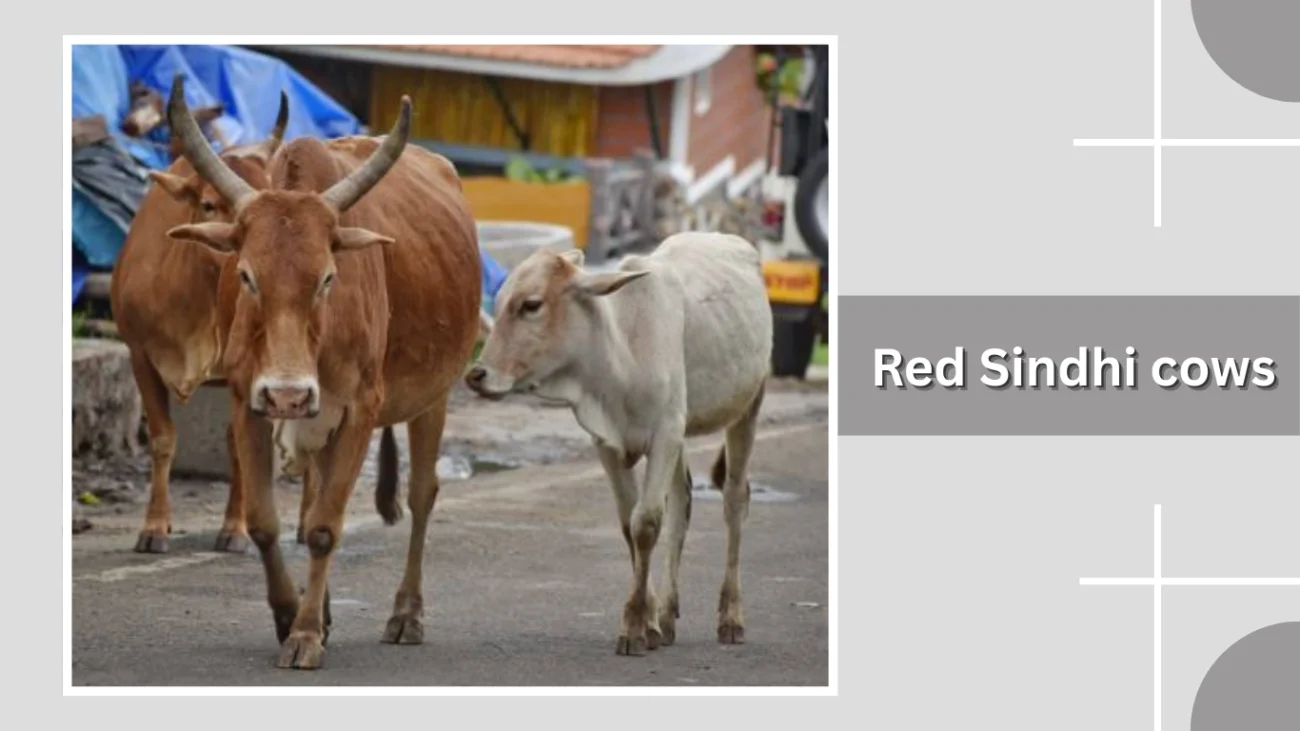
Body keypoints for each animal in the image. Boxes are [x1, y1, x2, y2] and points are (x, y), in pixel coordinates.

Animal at [162, 75, 481, 670]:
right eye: (246, 275)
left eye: (329, 277)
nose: (288, 394)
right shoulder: (247, 401)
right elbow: (266, 523)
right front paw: (291, 615)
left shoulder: (360, 409)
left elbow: (325, 528)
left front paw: (306, 633)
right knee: (313, 495)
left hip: (434, 396)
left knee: (421, 495)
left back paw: (406, 614)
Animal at [465, 232, 774, 655]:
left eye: (531, 305)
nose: (476, 375)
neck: (621, 352)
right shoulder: (607, 443)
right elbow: (631, 525)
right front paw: (649, 624)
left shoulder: (664, 434)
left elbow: (646, 524)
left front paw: (633, 627)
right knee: (682, 503)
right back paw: (667, 616)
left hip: (747, 408)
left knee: (734, 501)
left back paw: (731, 617)